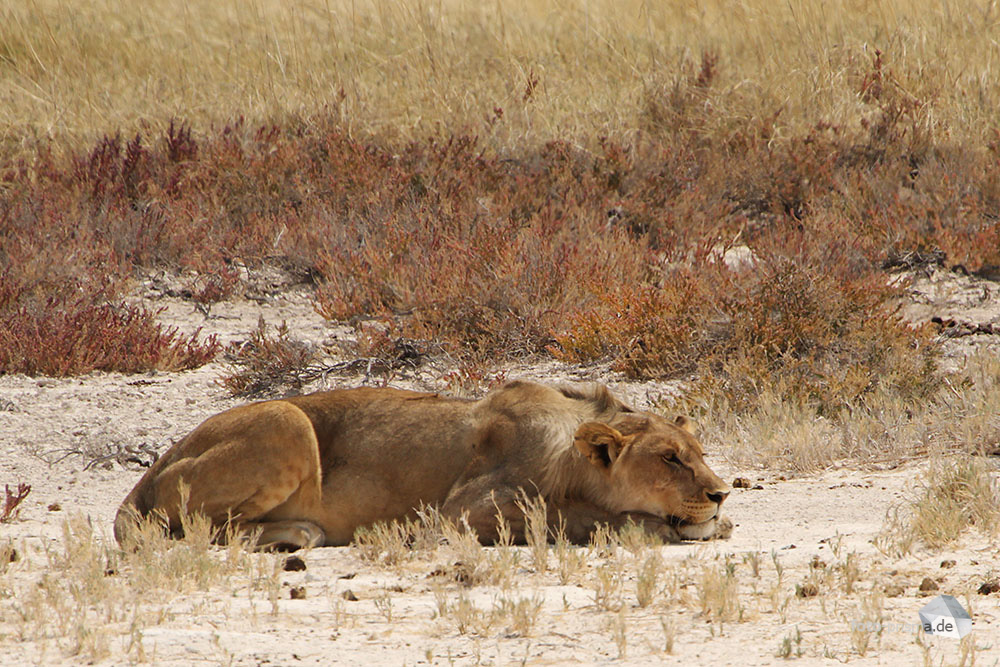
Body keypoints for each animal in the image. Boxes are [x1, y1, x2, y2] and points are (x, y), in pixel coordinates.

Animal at [115, 380, 736, 548]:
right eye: (670, 460)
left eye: (701, 456)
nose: (721, 493)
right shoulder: (460, 512)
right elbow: (574, 517)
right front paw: (661, 525)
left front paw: (718, 521)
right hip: (287, 420)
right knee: (199, 529)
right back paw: (300, 533)